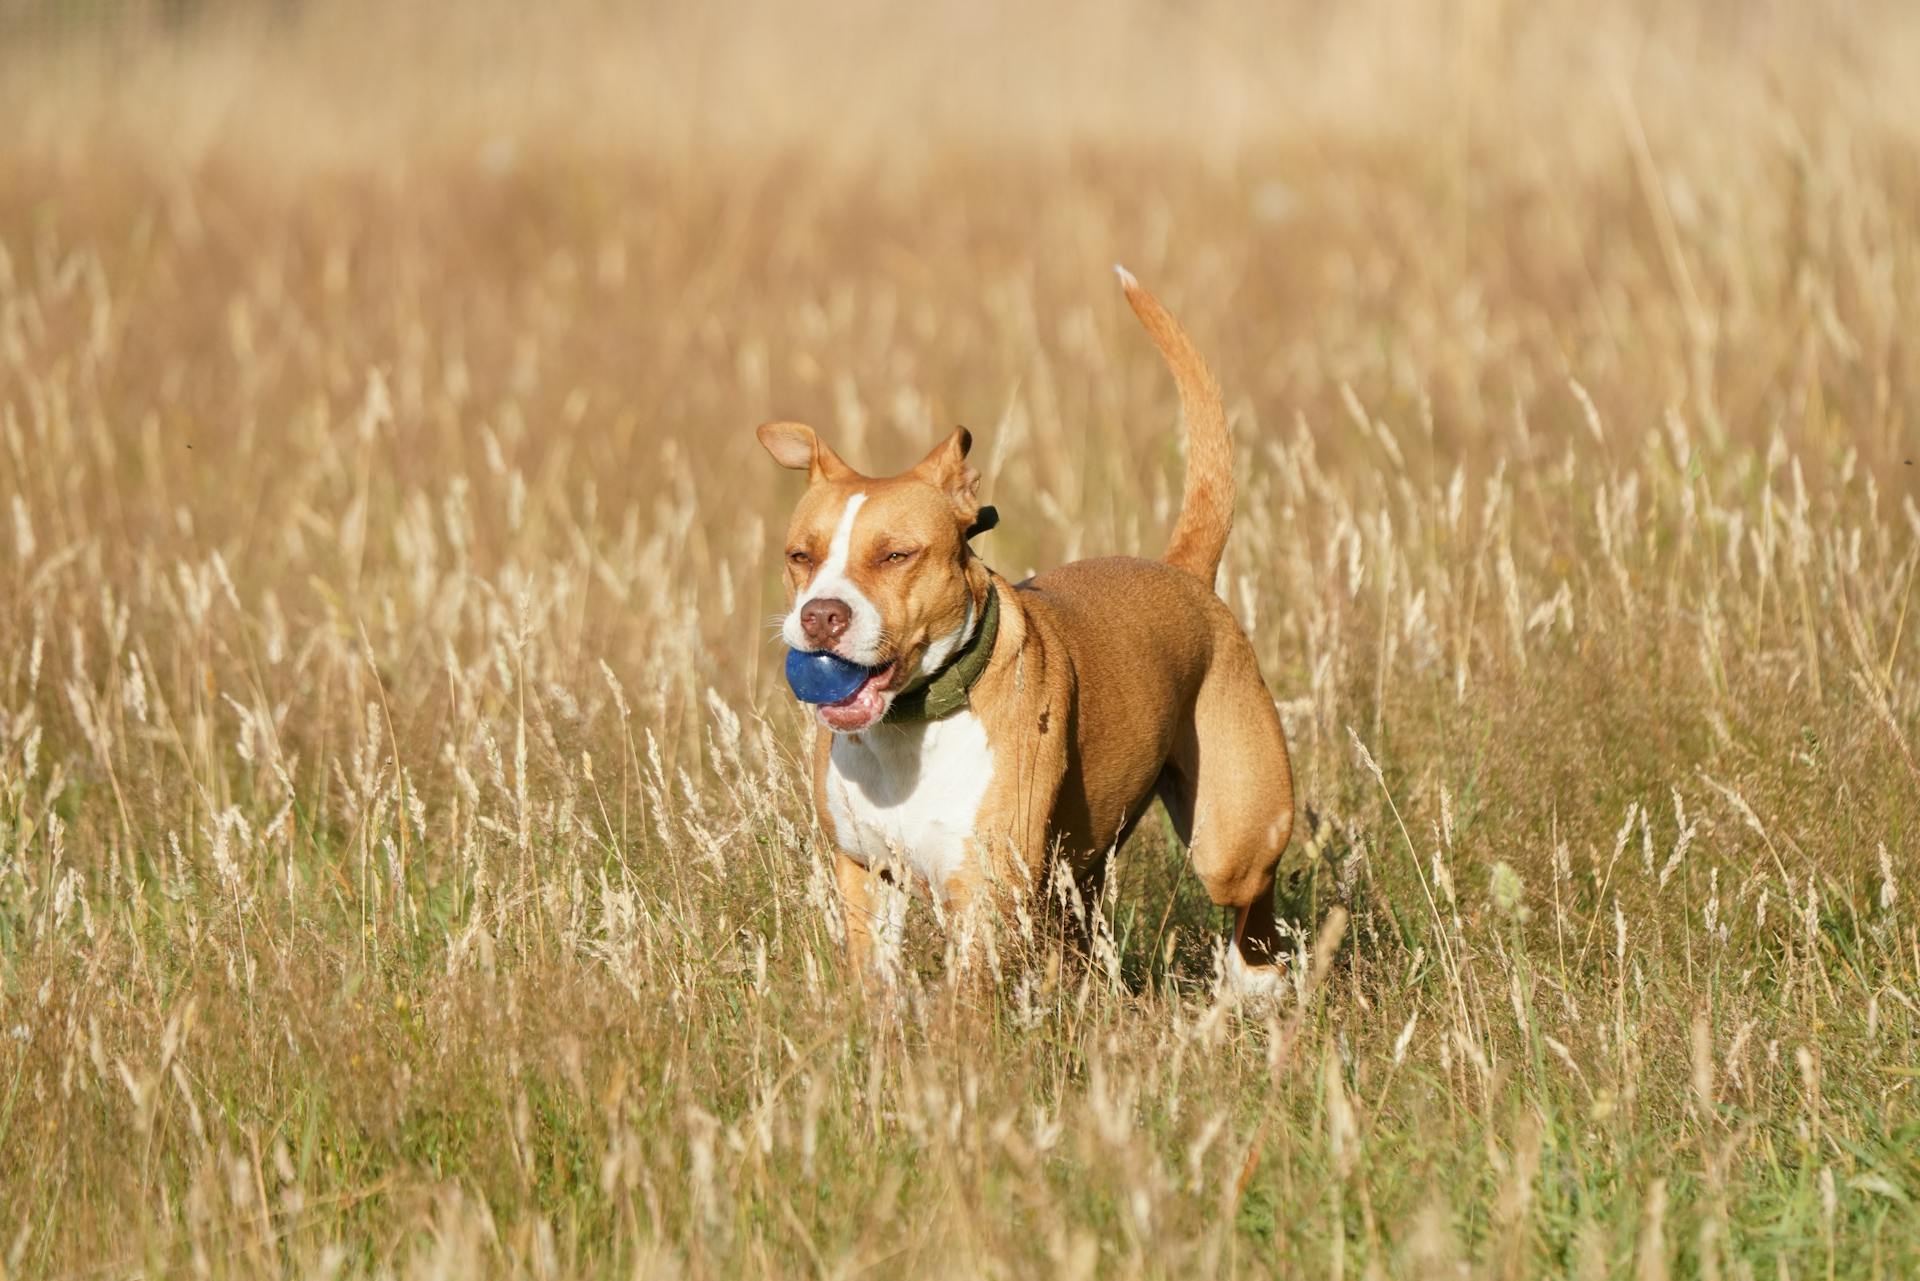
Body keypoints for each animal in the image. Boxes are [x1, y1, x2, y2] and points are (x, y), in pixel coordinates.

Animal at [756, 268, 1297, 990]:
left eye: (896, 554)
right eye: (800, 555)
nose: (821, 614)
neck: (910, 728)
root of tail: (1182, 570)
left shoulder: (984, 890)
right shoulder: (866, 873)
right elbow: (876, 987)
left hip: (1229, 835)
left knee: (1250, 896)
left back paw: (1253, 987)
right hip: (1082, 860)